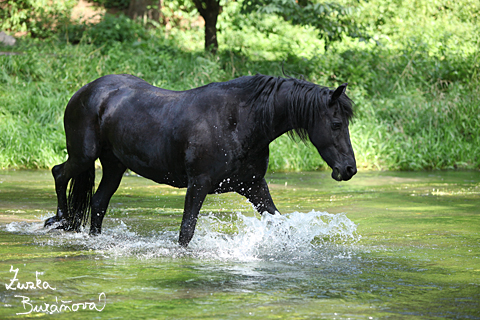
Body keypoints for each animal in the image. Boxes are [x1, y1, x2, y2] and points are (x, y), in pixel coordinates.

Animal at [44, 74, 356, 248]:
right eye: (337, 124)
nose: (349, 169)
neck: (239, 121)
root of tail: (84, 92)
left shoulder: (254, 185)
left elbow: (281, 224)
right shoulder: (198, 185)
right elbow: (186, 232)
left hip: (114, 167)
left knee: (98, 203)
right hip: (83, 156)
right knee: (59, 173)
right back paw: (60, 220)